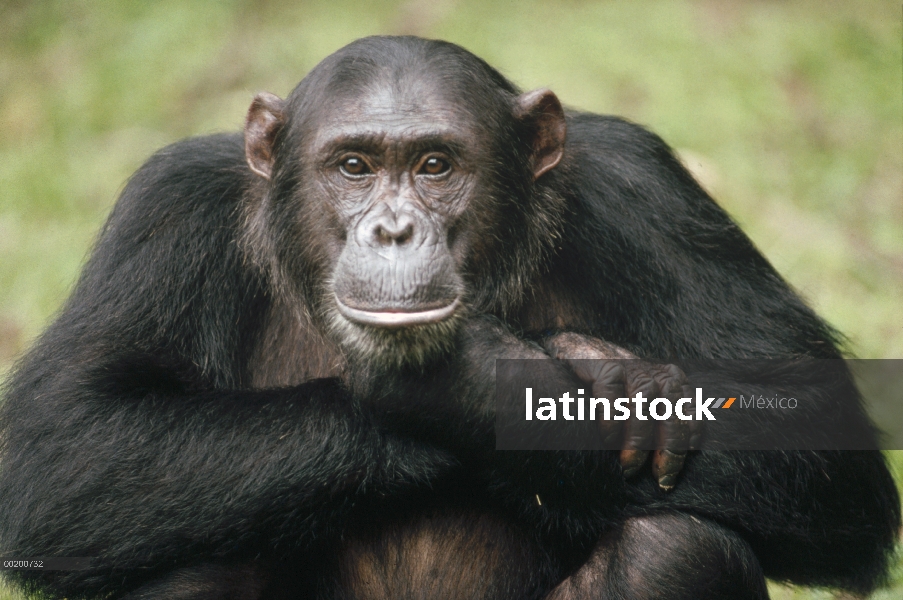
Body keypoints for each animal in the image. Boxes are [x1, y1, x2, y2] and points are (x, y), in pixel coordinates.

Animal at [0, 37, 900, 600]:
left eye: (435, 166)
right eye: (353, 167)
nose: (394, 229)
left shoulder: (648, 190)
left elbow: (815, 438)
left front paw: (475, 384)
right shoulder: (169, 210)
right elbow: (65, 443)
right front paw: (533, 371)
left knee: (677, 553)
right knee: (192, 552)